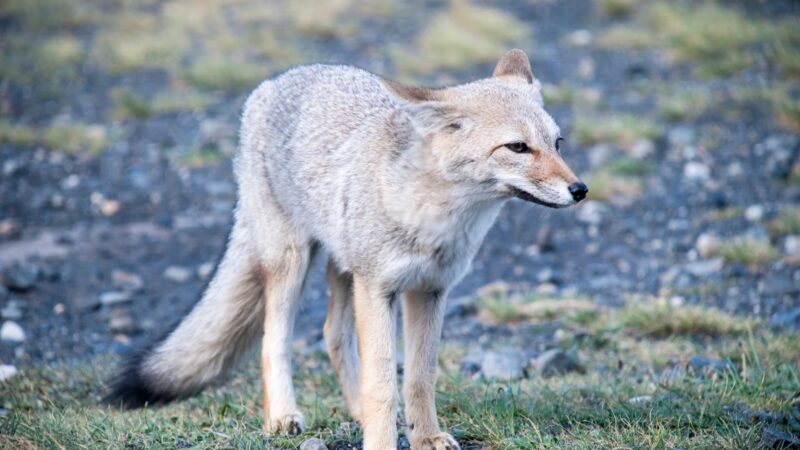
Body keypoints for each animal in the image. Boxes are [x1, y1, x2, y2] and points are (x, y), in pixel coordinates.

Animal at [108, 49, 588, 450]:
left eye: (557, 144)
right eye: (518, 147)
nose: (580, 190)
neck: (435, 220)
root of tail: (281, 79)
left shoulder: (430, 290)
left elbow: (419, 378)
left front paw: (425, 437)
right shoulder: (379, 288)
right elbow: (383, 383)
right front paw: (382, 443)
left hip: (344, 270)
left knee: (332, 334)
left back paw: (359, 412)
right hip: (294, 263)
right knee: (274, 339)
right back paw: (283, 416)